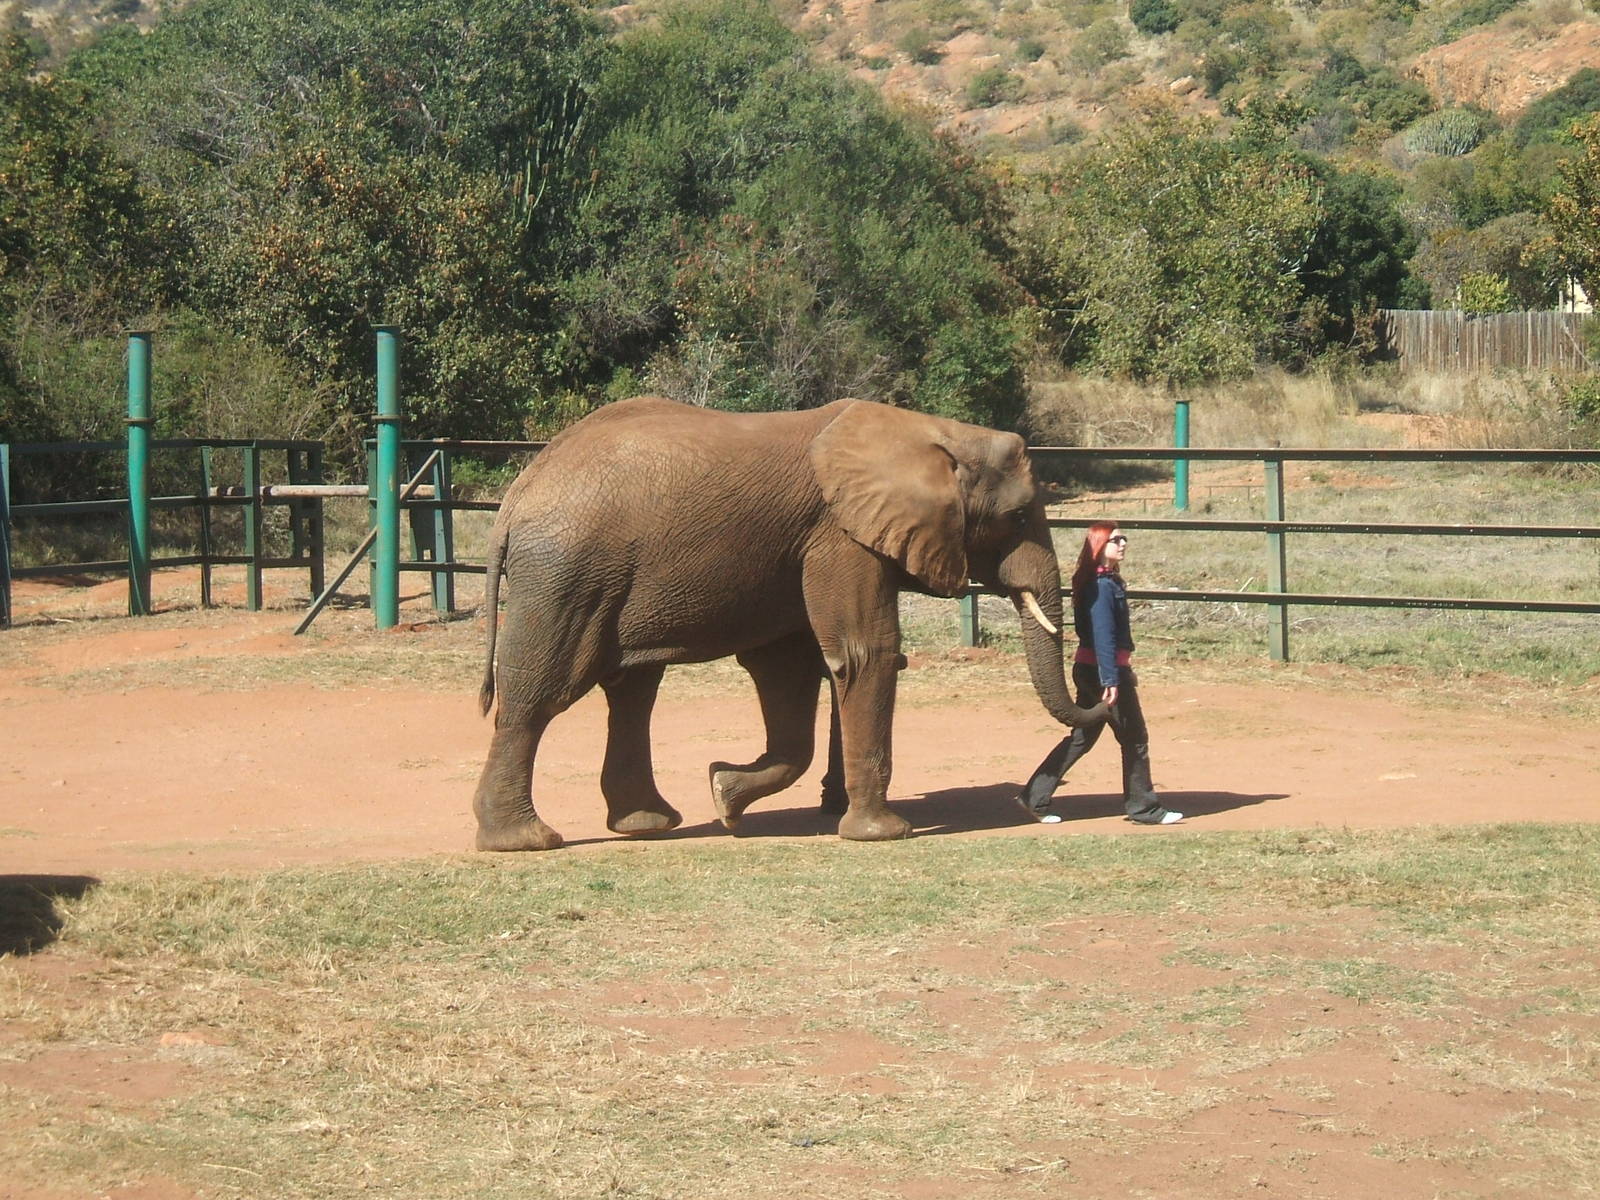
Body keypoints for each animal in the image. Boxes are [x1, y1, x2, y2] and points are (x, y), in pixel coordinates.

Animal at [472, 395, 1108, 851]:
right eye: (1018, 516)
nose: (1104, 693)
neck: (932, 432)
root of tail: (516, 496)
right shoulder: (840, 536)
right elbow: (863, 654)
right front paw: (885, 835)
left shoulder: (808, 547)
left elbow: (789, 671)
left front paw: (723, 793)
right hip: (568, 576)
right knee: (541, 695)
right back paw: (525, 841)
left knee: (631, 692)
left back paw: (647, 824)